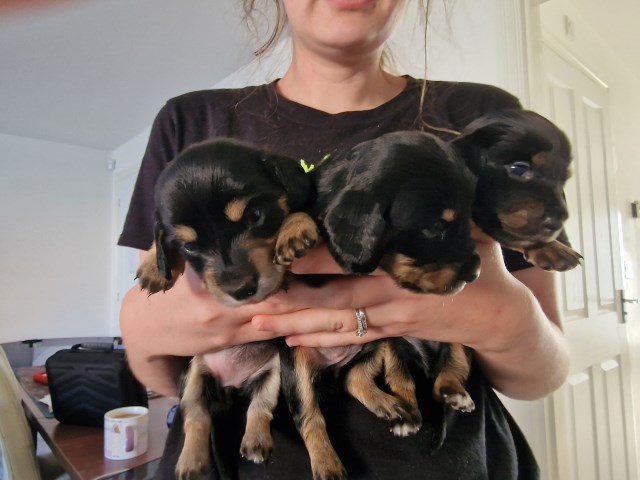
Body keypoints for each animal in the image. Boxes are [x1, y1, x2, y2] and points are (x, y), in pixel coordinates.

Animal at [138, 139, 322, 480]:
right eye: (190, 246)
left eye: (256, 216)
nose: (241, 290)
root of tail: (229, 388)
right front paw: (153, 266)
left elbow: (294, 212)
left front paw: (295, 228)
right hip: (193, 373)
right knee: (196, 416)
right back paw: (191, 461)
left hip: (272, 373)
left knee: (259, 408)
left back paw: (256, 442)